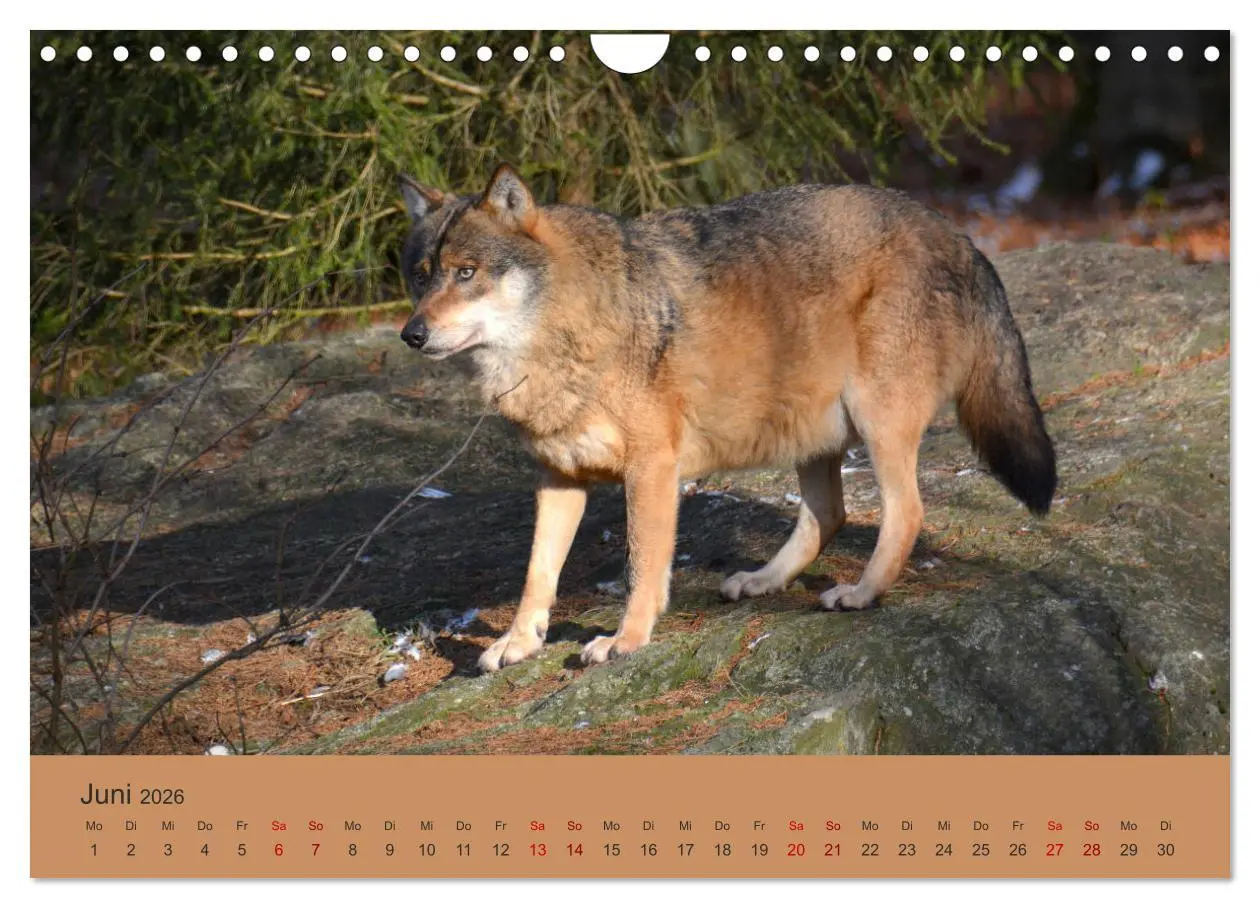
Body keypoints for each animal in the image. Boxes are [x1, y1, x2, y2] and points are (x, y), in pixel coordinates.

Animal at [396, 165, 1056, 673]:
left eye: (467, 273)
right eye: (422, 276)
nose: (411, 334)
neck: (567, 334)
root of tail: (956, 231)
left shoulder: (652, 470)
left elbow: (641, 566)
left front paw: (624, 641)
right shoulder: (559, 478)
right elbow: (537, 572)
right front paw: (518, 643)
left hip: (877, 425)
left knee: (906, 512)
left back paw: (862, 593)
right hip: (812, 434)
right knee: (830, 515)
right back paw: (762, 582)